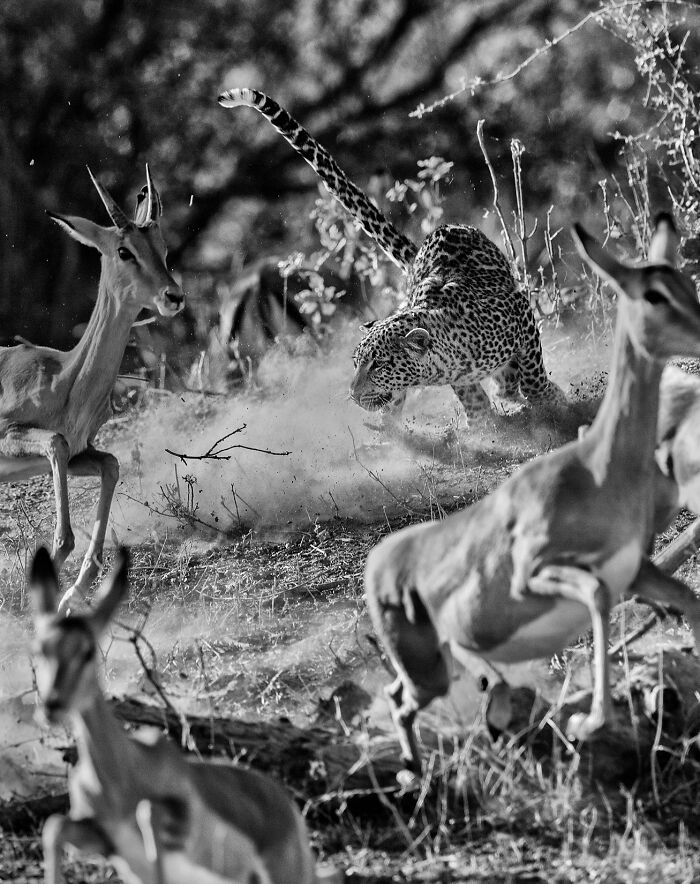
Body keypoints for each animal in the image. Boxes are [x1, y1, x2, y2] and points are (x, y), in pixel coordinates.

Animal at [0, 168, 183, 611]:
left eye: (163, 248)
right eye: (124, 251)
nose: (174, 296)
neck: (65, 378)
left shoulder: (83, 452)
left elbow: (111, 463)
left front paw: (72, 593)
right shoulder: (14, 435)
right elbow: (56, 448)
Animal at [30, 546, 326, 884]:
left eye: (87, 651)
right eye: (39, 649)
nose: (53, 705)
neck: (122, 774)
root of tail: (287, 807)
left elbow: (148, 813)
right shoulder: (104, 841)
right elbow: (54, 827)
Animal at [218, 87, 564, 421]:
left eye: (380, 365)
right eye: (356, 363)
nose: (353, 396)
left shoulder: (520, 312)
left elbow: (532, 375)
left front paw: (548, 400)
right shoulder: (461, 377)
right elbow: (474, 399)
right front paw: (484, 420)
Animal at [364, 214, 700, 773]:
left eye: (684, 287)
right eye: (654, 296)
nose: (356, 393)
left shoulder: (636, 567)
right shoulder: (536, 571)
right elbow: (598, 597)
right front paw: (593, 719)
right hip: (427, 661)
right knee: (406, 697)